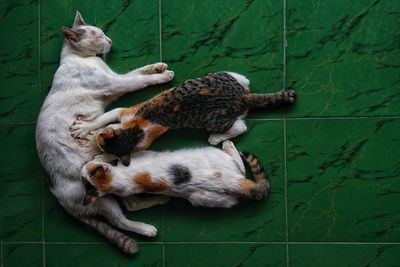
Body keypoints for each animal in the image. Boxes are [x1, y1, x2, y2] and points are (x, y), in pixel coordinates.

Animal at [35, 12, 175, 255]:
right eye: (97, 35)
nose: (109, 40)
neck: (82, 59)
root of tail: (54, 191)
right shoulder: (115, 84)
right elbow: (139, 80)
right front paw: (163, 76)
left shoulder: (116, 79)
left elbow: (139, 71)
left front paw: (158, 66)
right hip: (98, 194)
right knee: (121, 219)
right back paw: (147, 228)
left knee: (130, 202)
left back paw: (161, 199)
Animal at [70, 71, 296, 165]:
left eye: (100, 145)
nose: (97, 141)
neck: (134, 132)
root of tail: (241, 96)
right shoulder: (122, 112)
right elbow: (102, 118)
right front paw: (86, 127)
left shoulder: (142, 139)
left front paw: (102, 158)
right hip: (220, 75)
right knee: (245, 80)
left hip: (215, 120)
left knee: (241, 127)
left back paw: (215, 138)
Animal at [80, 141, 268, 215]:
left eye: (86, 172)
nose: (81, 169)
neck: (123, 176)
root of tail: (233, 182)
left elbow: (117, 154)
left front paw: (99, 157)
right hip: (202, 197)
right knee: (241, 168)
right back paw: (228, 144)